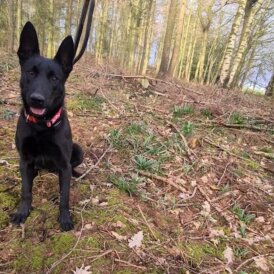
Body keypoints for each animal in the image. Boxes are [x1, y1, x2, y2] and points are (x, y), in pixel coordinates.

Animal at [11, 22, 83, 231]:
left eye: (54, 78)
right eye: (30, 72)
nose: (37, 99)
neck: (42, 126)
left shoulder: (64, 165)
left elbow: (64, 197)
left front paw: (65, 218)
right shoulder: (26, 160)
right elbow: (26, 191)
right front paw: (22, 213)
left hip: (78, 150)